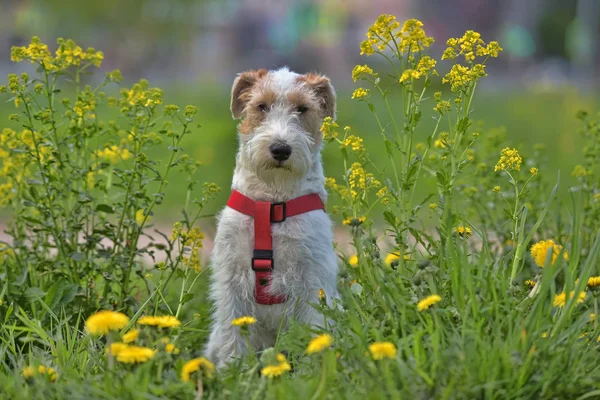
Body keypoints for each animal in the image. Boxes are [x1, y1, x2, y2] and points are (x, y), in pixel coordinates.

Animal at [205, 68, 338, 366]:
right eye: (261, 106)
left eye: (302, 108)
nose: (280, 149)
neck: (272, 203)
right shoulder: (231, 276)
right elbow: (233, 331)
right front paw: (232, 369)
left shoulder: (313, 277)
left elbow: (315, 325)